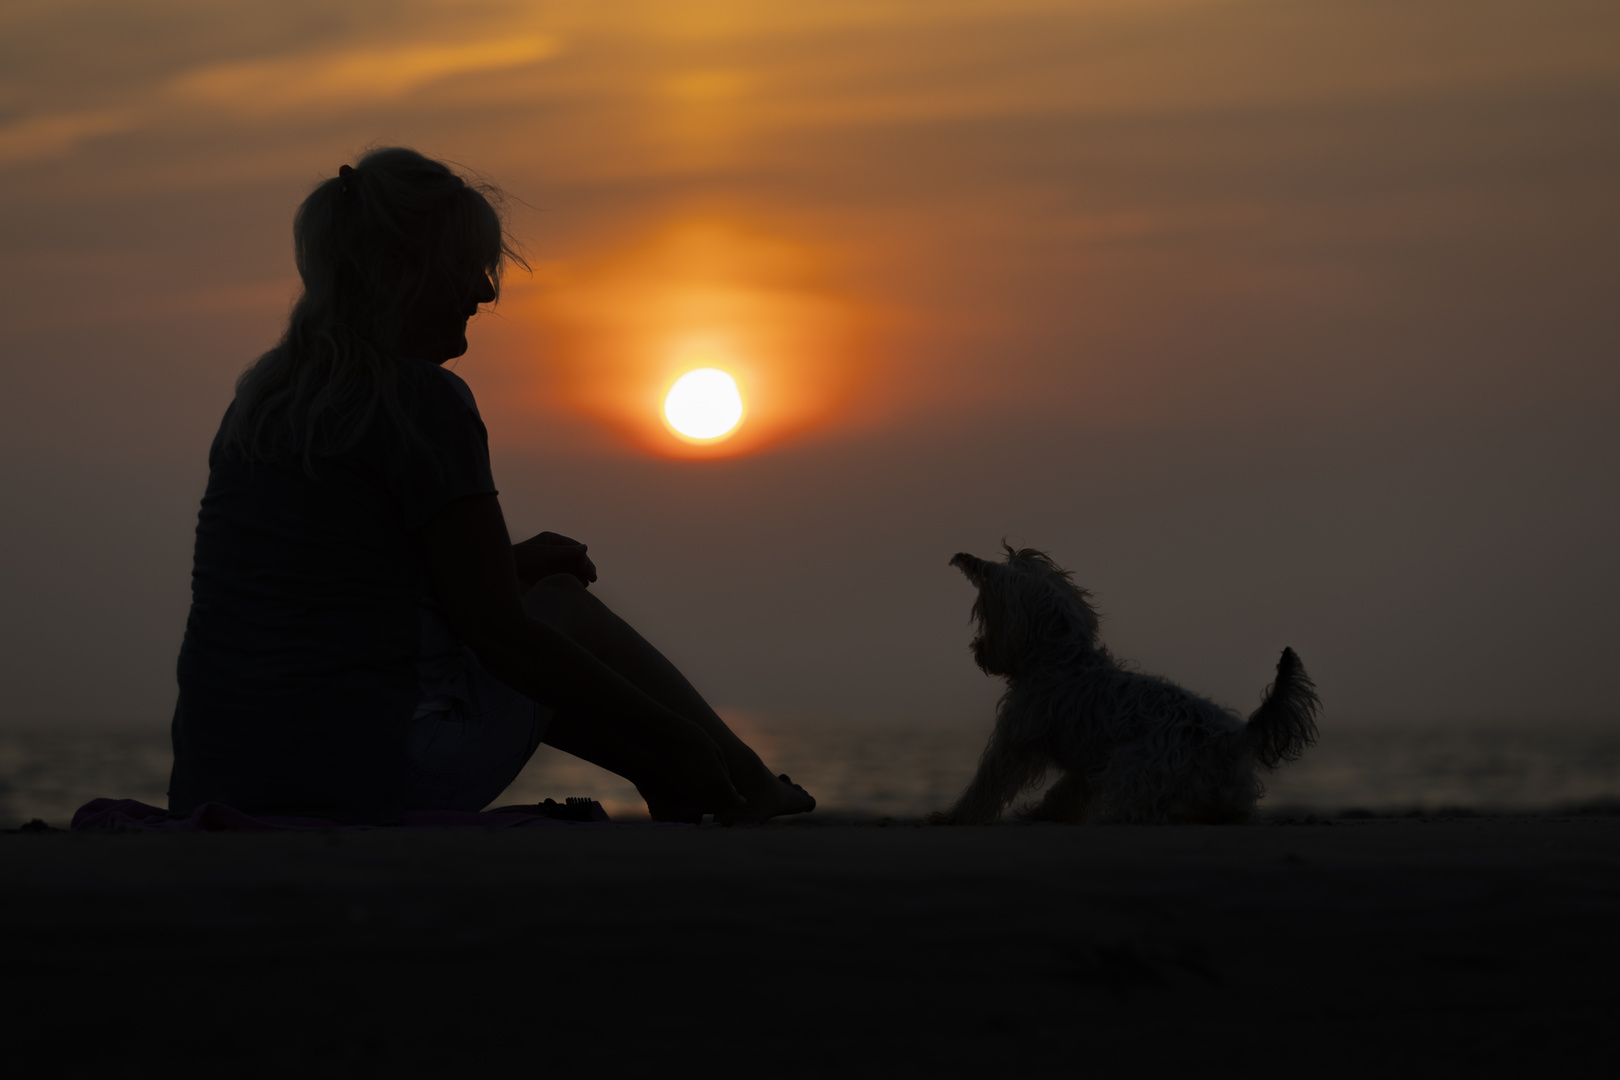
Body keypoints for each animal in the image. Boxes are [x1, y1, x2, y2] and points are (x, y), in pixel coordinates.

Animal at [939, 550, 1315, 829]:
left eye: (984, 612)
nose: (978, 648)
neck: (1060, 657)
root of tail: (1236, 737)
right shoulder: (1090, 760)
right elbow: (1072, 786)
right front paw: (1045, 812)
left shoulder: (1016, 739)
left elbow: (988, 782)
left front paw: (953, 816)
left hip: (1137, 762)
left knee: (1141, 806)